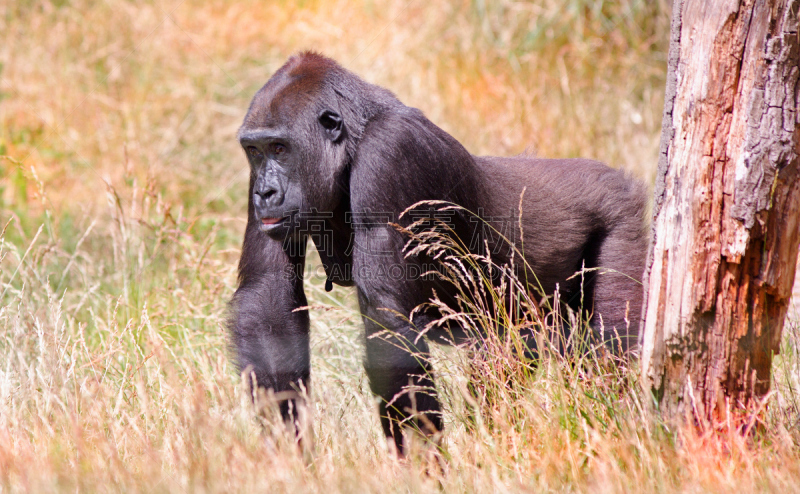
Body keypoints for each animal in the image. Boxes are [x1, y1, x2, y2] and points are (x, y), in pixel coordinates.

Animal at [227, 52, 648, 454]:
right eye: (255, 152)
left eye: (280, 148)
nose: (265, 192)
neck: (356, 135)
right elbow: (268, 297)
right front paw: (288, 446)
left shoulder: (389, 152)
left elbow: (389, 326)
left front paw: (423, 459)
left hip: (623, 215)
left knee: (608, 353)